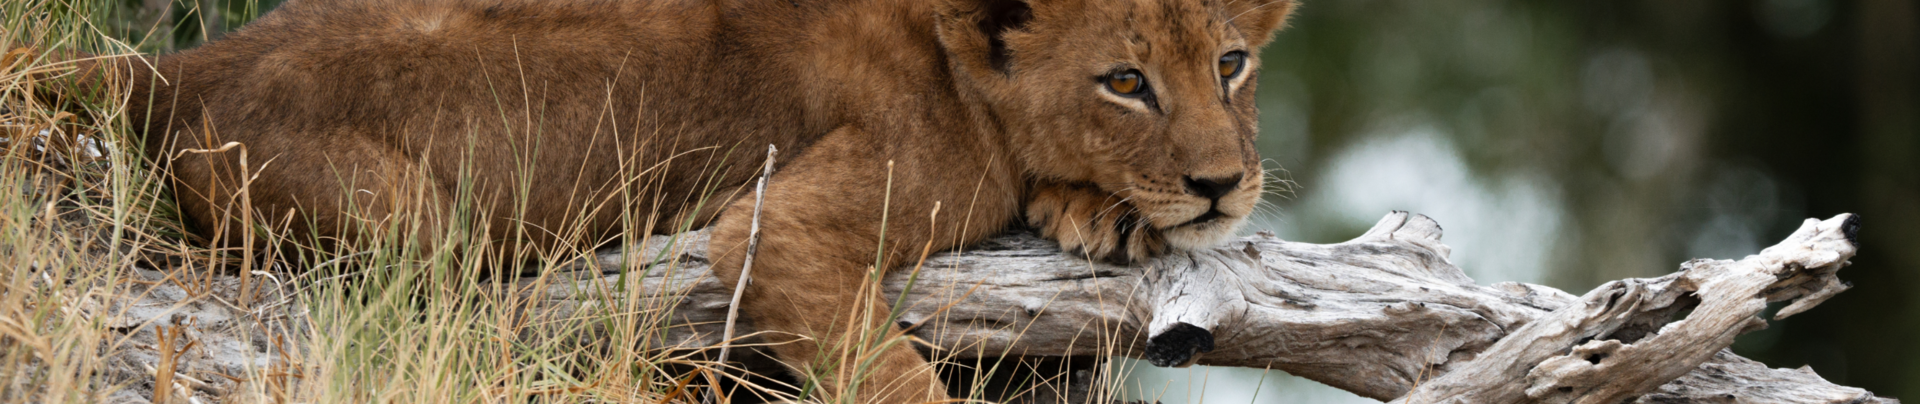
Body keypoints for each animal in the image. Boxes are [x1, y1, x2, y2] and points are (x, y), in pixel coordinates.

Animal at [84, 0, 1295, 401]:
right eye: (1125, 81)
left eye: (1230, 63)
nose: (1222, 182)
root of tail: (171, 72)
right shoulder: (777, 222)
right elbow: (888, 370)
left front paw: (1102, 212)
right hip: (415, 233)